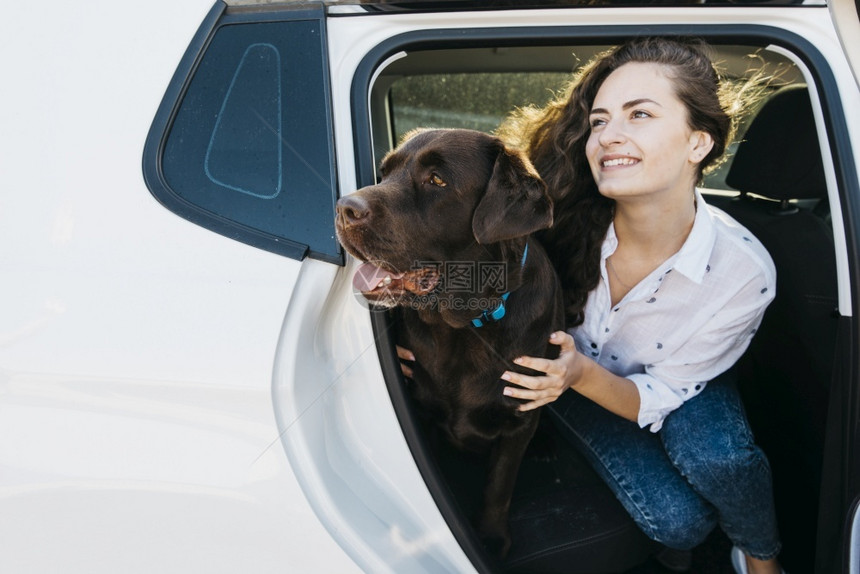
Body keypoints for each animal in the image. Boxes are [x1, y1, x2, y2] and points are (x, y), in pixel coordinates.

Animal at [334, 129, 564, 560]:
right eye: (384, 171)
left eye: (436, 180)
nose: (344, 207)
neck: (464, 327)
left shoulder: (516, 422)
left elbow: (499, 486)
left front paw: (490, 537)